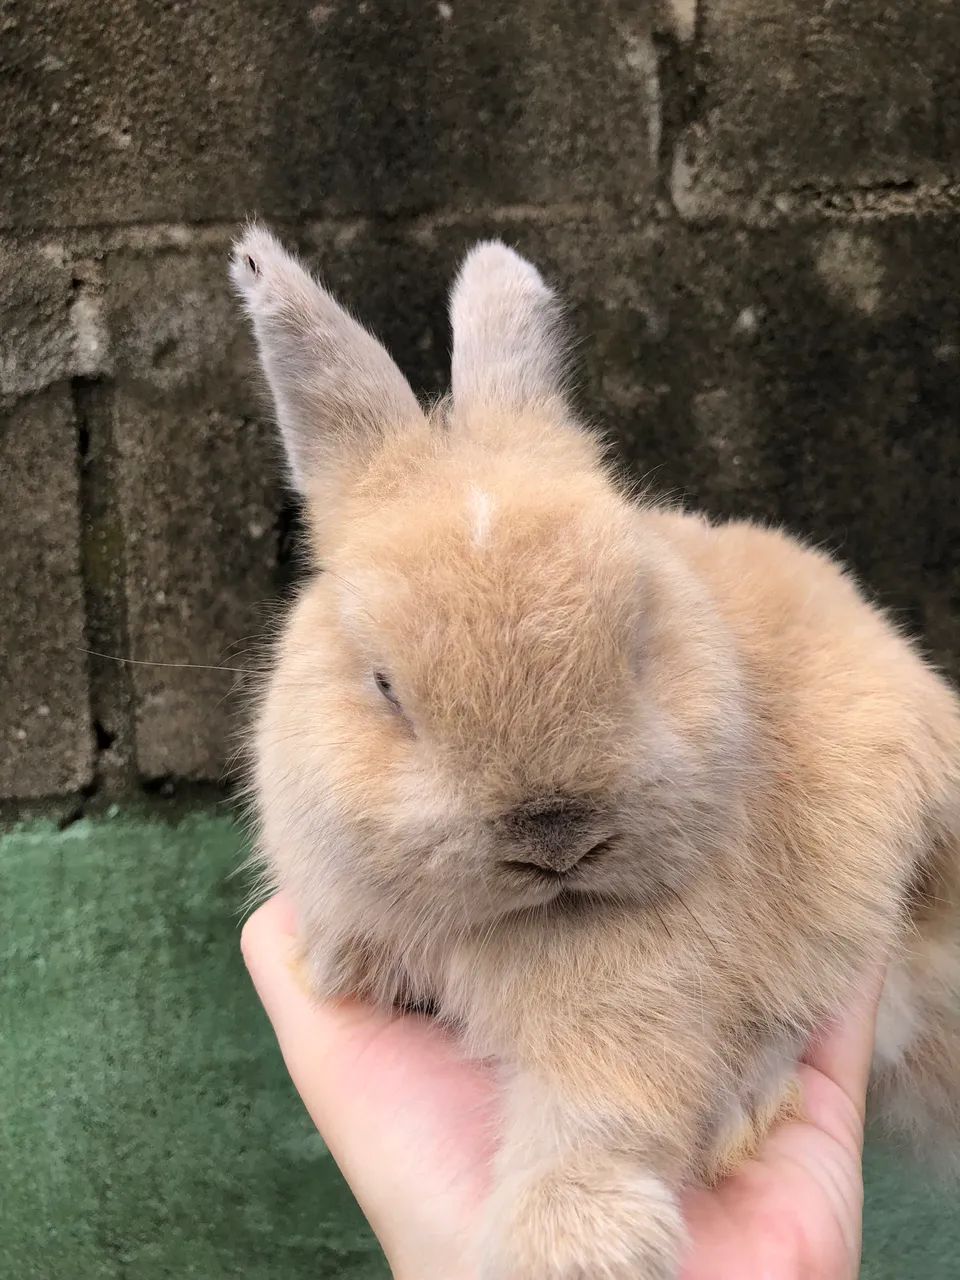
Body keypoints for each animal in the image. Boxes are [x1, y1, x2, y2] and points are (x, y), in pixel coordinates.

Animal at [231, 225, 960, 1280]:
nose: (555, 834)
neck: (540, 912)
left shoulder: (645, 999)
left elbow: (602, 1109)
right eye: (384, 687)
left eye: (641, 636)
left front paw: (571, 1247)